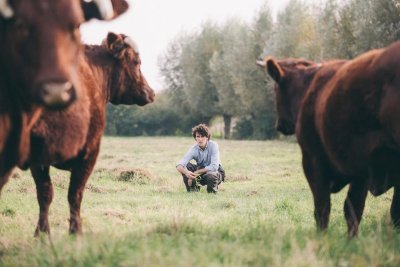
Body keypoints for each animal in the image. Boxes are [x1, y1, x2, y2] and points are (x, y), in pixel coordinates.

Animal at [24, 33, 155, 237]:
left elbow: (55, 194)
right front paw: (68, 232)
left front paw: (45, 234)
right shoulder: (85, 154)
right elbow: (64, 194)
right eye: (136, 62)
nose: (152, 92)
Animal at [258, 40, 400, 238]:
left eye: (275, 88)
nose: (279, 124)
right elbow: (355, 208)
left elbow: (324, 207)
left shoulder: (313, 159)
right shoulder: (363, 169)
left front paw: (322, 238)